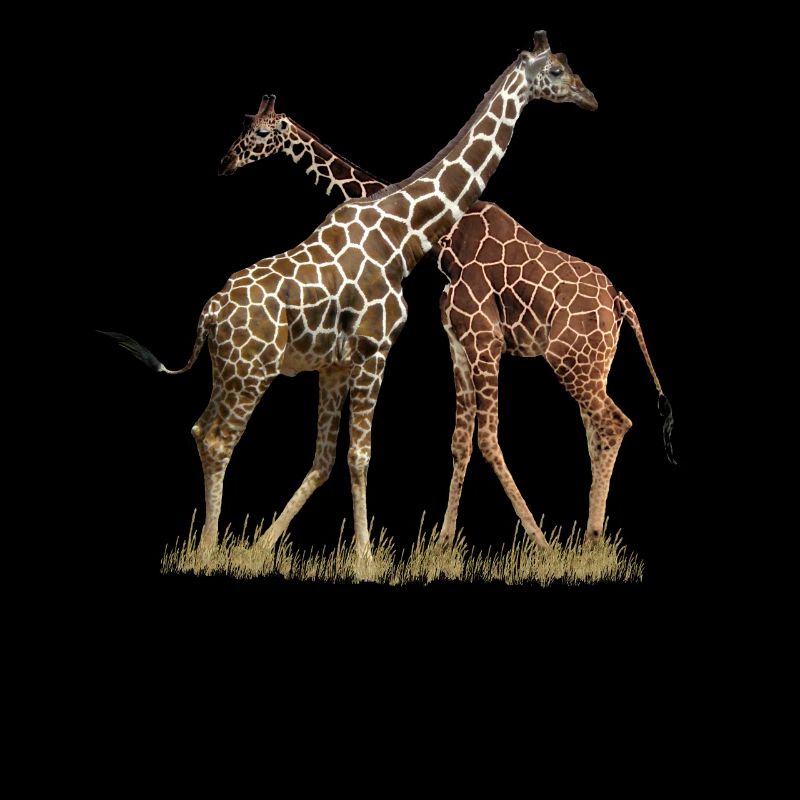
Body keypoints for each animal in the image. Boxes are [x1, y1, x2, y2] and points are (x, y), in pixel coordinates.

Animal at [105, 31, 597, 556]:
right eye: (558, 71)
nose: (590, 98)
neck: (403, 234)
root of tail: (210, 315)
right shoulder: (373, 352)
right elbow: (360, 456)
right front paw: (364, 557)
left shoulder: (336, 365)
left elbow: (324, 460)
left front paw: (263, 546)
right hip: (251, 373)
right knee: (219, 439)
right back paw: (207, 550)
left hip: (229, 372)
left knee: (201, 429)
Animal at [217, 58, 673, 549]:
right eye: (246, 123)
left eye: (263, 133)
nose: (226, 161)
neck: (445, 243)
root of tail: (620, 302)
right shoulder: (455, 340)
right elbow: (459, 440)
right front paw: (442, 542)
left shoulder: (484, 340)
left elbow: (487, 438)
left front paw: (540, 544)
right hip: (593, 363)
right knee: (597, 429)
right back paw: (592, 538)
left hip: (572, 359)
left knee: (614, 422)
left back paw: (590, 542)